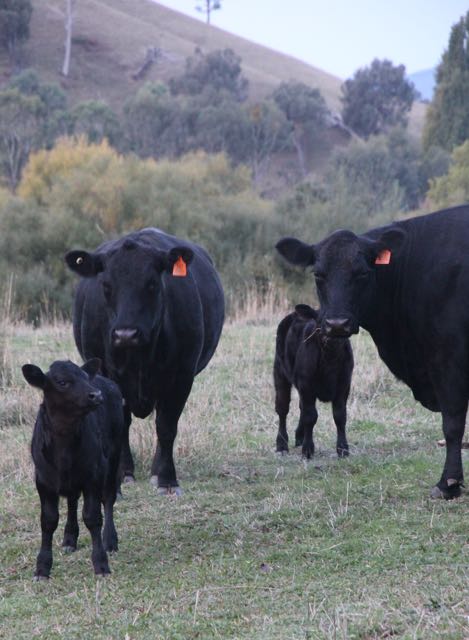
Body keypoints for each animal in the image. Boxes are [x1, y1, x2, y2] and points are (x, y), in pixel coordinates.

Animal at [22, 358, 123, 579]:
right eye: (62, 382)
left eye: (85, 377)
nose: (96, 395)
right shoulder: (43, 481)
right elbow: (48, 521)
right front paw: (42, 567)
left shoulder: (94, 475)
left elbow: (93, 517)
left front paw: (101, 563)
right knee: (72, 500)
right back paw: (69, 538)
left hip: (114, 457)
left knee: (108, 498)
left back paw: (110, 539)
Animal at [65, 228, 225, 495]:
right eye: (106, 285)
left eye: (152, 284)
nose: (125, 334)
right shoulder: (107, 377)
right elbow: (121, 424)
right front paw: (122, 475)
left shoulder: (181, 376)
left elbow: (167, 426)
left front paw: (167, 480)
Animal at [274, 304, 354, 459]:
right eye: (320, 321)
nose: (333, 334)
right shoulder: (306, 385)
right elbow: (311, 416)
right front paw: (308, 449)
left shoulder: (344, 385)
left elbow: (340, 416)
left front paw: (343, 448)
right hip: (280, 373)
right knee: (282, 410)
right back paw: (281, 445)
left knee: (301, 407)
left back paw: (299, 436)